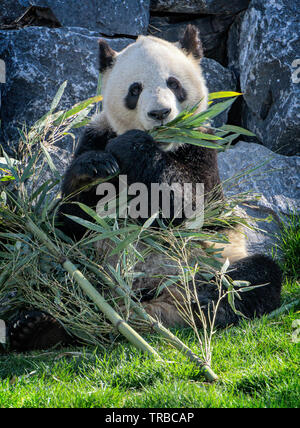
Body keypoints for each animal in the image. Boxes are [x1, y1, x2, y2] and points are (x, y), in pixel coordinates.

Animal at [8, 25, 282, 352]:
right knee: (56, 270)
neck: (164, 143)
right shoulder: (95, 135)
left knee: (251, 278)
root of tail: (153, 305)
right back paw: (38, 326)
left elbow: (189, 206)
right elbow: (73, 217)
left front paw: (131, 145)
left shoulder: (203, 145)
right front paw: (95, 167)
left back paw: (203, 303)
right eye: (135, 89)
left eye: (173, 83)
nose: (160, 113)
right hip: (86, 265)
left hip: (216, 259)